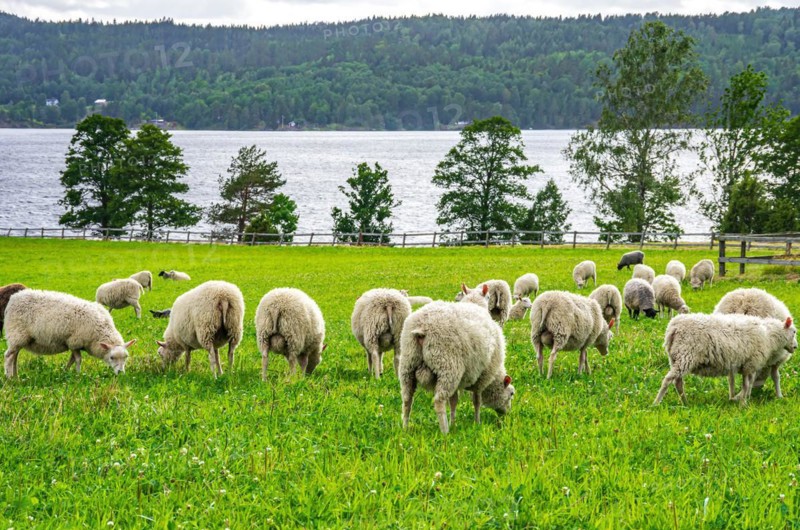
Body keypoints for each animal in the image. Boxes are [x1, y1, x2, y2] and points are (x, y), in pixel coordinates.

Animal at [3, 289, 135, 377]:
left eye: (126, 357)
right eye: (112, 357)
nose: (120, 373)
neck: (99, 331)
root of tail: (14, 298)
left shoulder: (74, 344)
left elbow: (71, 360)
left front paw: (65, 371)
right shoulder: (75, 341)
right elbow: (78, 359)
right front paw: (78, 375)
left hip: (19, 338)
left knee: (14, 356)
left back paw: (15, 376)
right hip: (17, 334)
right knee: (8, 356)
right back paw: (9, 378)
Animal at [399, 301, 515, 434]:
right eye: (511, 394)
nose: (507, 415)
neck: (494, 378)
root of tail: (421, 328)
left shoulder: (459, 381)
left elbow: (453, 402)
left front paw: (453, 423)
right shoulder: (481, 379)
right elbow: (477, 401)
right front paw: (477, 422)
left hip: (407, 366)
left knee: (407, 400)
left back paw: (405, 428)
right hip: (447, 367)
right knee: (439, 401)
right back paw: (445, 432)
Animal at [653, 314, 797, 406]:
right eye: (794, 332)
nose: (795, 347)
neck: (769, 335)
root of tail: (673, 327)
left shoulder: (747, 366)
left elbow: (747, 384)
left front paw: (740, 399)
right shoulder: (750, 364)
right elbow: (746, 385)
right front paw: (743, 403)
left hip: (675, 357)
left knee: (677, 382)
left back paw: (685, 402)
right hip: (686, 355)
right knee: (668, 380)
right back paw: (656, 403)